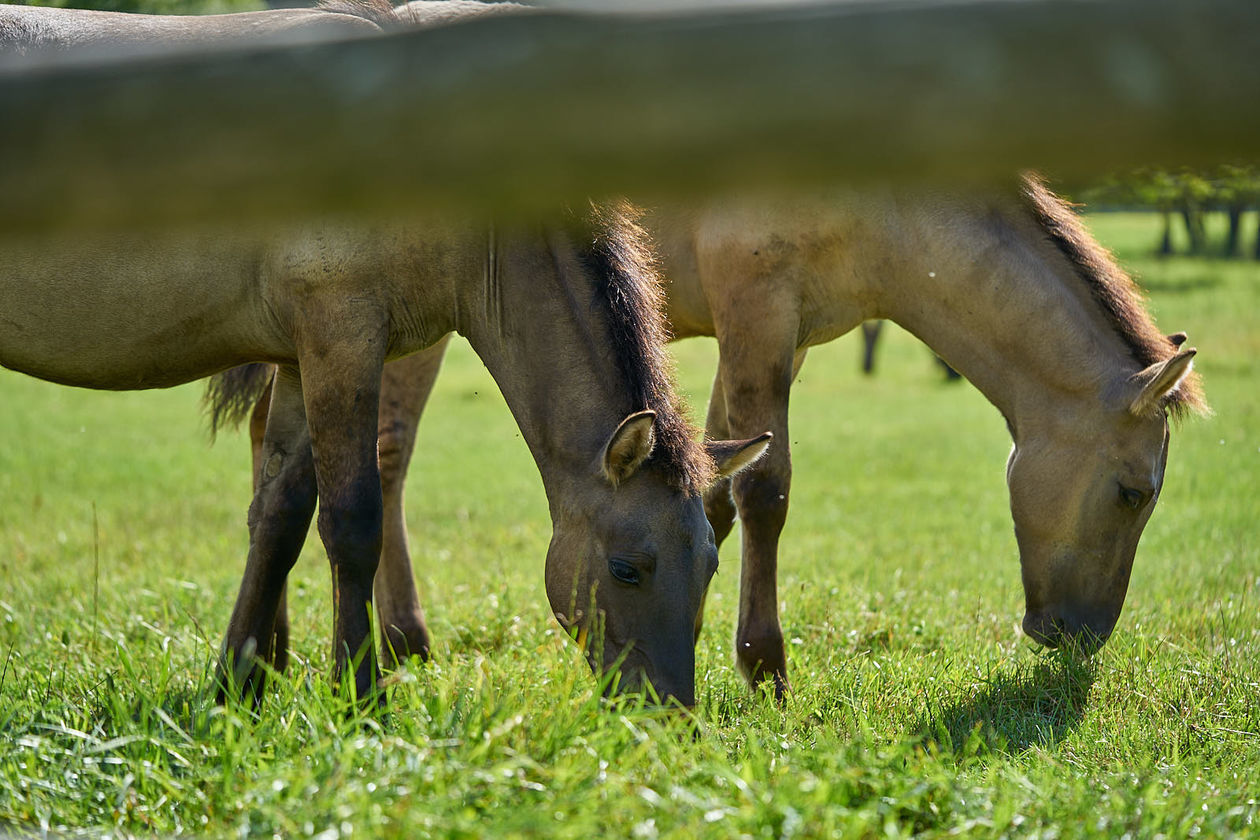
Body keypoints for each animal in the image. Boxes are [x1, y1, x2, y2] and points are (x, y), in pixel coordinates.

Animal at [243, 173, 1199, 700]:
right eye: (1133, 493)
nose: (1079, 638)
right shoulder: (756, 316)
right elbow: (766, 494)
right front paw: (765, 665)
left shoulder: (789, 339)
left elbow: (717, 493)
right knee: (385, 458)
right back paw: (400, 638)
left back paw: (278, 645)